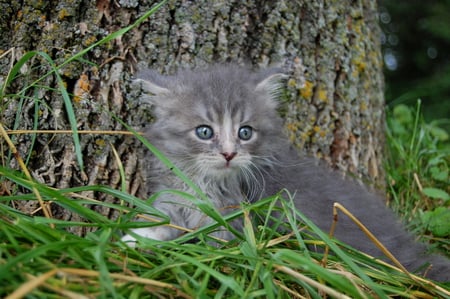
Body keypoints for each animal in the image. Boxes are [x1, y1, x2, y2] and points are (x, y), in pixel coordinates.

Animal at [121, 64, 448, 282]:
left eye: (245, 132)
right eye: (204, 131)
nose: (229, 153)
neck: (205, 182)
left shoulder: (235, 221)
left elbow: (211, 246)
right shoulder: (172, 196)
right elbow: (162, 219)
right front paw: (137, 237)